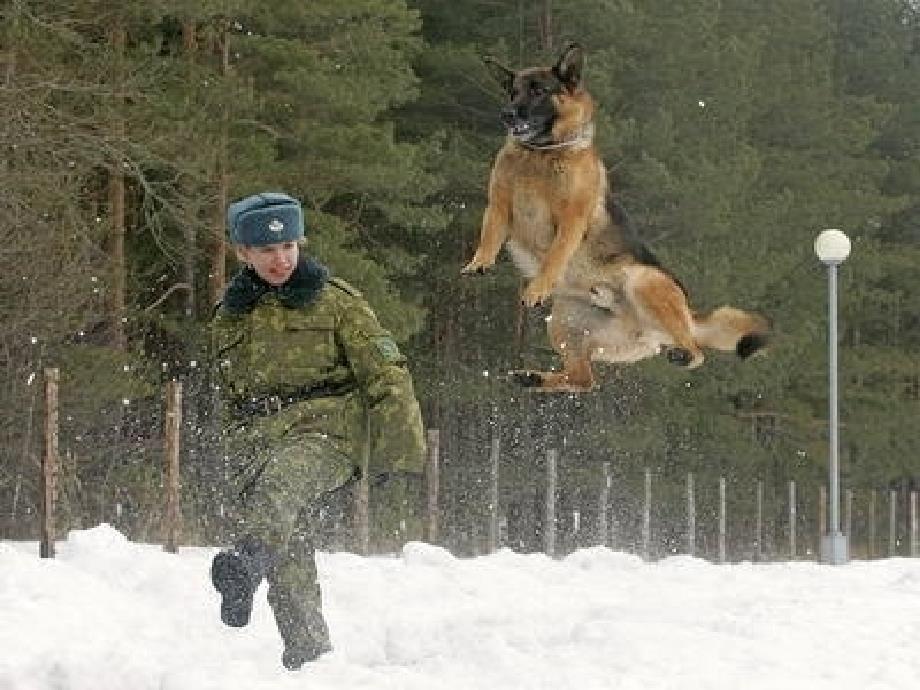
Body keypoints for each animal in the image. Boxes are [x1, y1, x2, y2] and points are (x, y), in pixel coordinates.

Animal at [460, 43, 768, 390]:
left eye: (538, 90)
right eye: (512, 92)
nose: (507, 114)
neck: (541, 153)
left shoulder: (571, 219)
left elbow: (554, 256)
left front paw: (537, 289)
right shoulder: (498, 205)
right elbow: (489, 235)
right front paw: (478, 264)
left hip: (642, 281)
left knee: (696, 349)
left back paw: (683, 354)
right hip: (567, 320)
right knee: (583, 379)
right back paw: (533, 377)